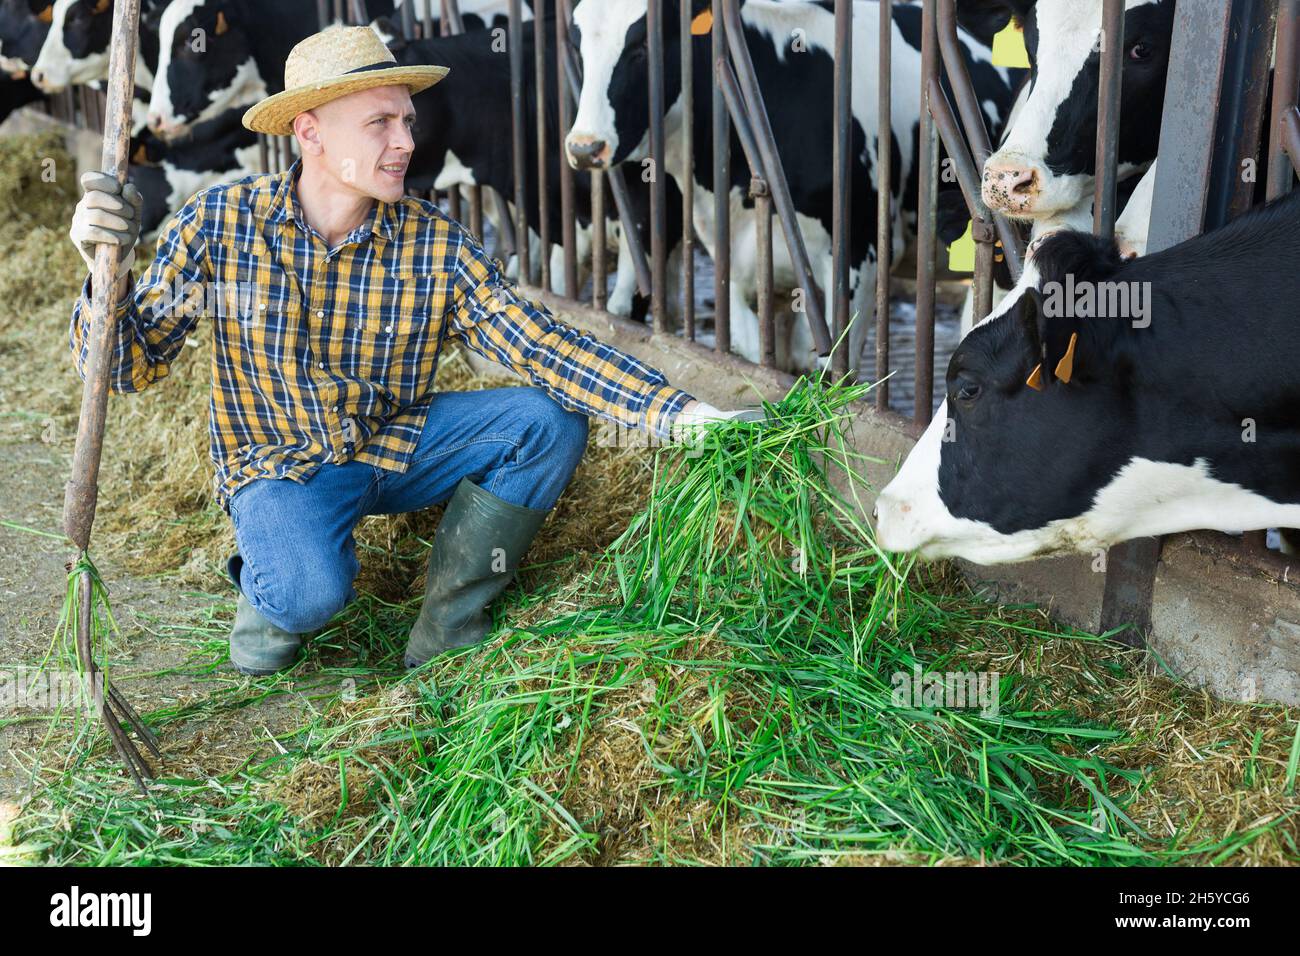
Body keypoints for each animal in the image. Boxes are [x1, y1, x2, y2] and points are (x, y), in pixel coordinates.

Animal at [564, 0, 1019, 374]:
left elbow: (828, 369)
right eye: (578, 47)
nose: (585, 147)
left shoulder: (860, 256)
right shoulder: (739, 267)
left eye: (641, 46)